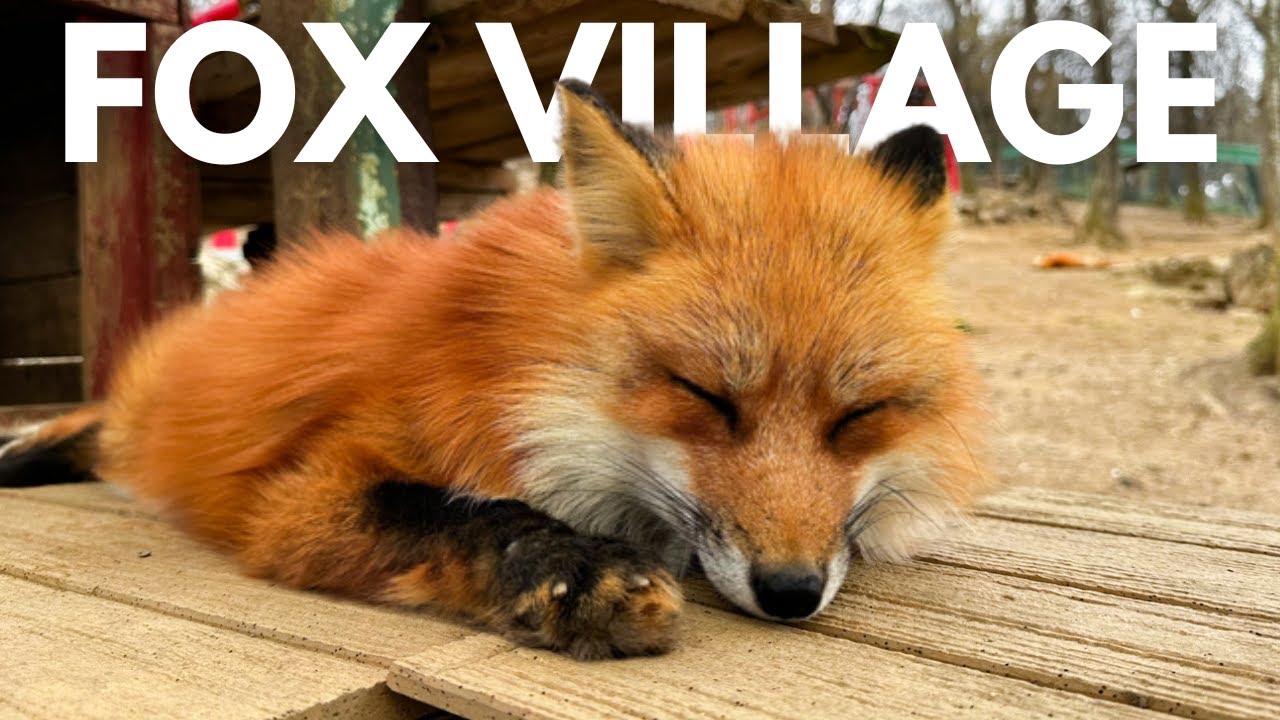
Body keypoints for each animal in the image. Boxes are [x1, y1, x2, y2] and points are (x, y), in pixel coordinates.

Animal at [0, 80, 986, 660]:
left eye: (860, 415)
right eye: (703, 396)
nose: (790, 592)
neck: (515, 361)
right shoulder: (300, 493)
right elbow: (455, 509)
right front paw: (572, 567)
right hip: (145, 415)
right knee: (91, 426)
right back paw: (21, 452)